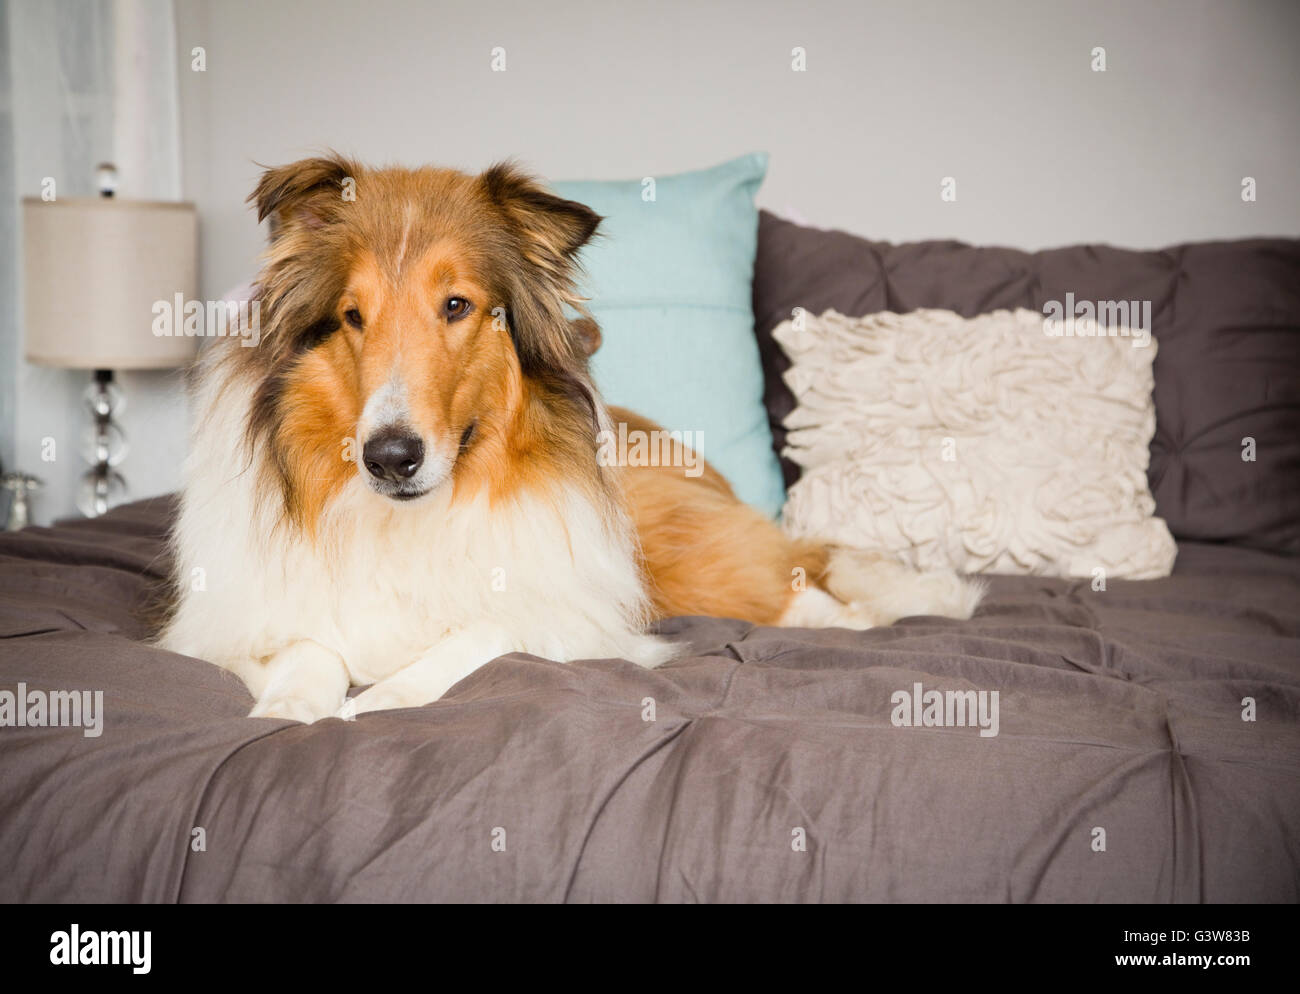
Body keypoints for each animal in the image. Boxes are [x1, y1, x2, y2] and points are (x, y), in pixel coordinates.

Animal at [157, 155, 977, 717]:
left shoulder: (579, 619)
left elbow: (479, 635)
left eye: (457, 306)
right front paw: (292, 709)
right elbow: (306, 649)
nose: (389, 459)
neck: (411, 522)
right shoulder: (232, 622)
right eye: (353, 317)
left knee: (799, 578)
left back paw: (876, 612)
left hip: (686, 551)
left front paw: (381, 701)